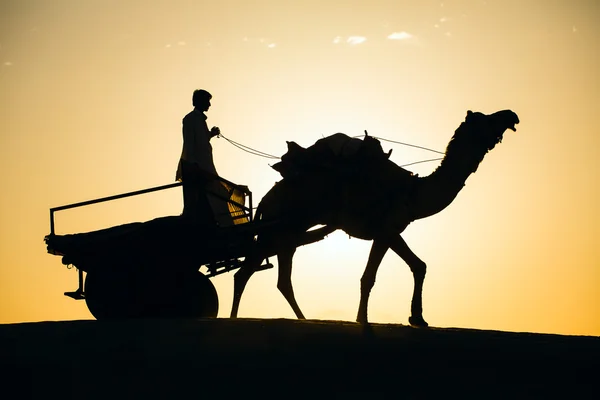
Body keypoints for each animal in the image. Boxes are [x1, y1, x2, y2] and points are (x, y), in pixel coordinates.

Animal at [230, 108, 520, 324]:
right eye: (486, 119)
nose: (511, 115)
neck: (413, 192)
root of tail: (265, 199)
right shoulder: (385, 230)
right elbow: (369, 277)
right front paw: (363, 319)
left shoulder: (392, 230)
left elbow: (419, 265)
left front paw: (418, 318)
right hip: (276, 230)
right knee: (246, 273)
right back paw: (236, 318)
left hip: (286, 234)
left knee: (273, 279)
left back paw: (301, 318)